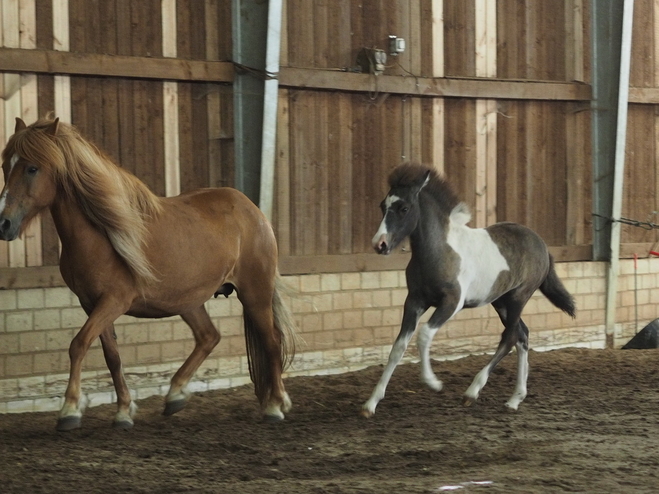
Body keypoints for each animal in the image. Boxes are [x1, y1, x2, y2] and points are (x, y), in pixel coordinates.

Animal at [0, 117, 294, 430]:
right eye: (5, 165)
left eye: (32, 168)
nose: (3, 224)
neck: (101, 235)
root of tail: (253, 211)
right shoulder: (92, 304)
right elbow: (112, 356)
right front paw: (123, 411)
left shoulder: (114, 301)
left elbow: (78, 344)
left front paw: (69, 410)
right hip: (188, 301)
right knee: (209, 337)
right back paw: (176, 395)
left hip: (255, 294)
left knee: (272, 342)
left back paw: (275, 405)